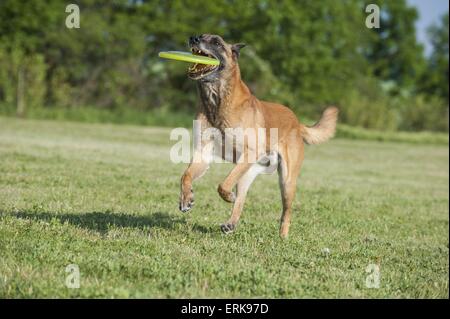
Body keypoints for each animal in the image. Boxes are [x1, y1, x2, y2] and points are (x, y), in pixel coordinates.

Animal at [178, 34, 336, 240]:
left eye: (217, 42)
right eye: (201, 36)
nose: (193, 38)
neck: (217, 102)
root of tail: (297, 121)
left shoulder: (249, 153)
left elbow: (223, 184)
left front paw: (227, 196)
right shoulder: (203, 154)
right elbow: (186, 176)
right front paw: (186, 199)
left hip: (286, 182)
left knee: (286, 212)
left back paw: (283, 236)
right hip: (247, 174)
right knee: (241, 200)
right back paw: (230, 223)